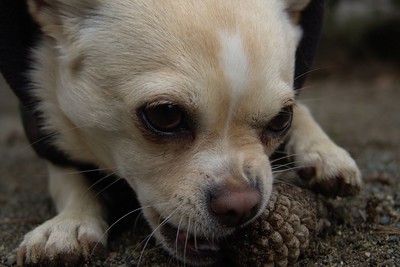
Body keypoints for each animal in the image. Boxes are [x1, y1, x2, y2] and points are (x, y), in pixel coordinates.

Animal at [14, 0, 360, 266]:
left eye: (280, 119)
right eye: (165, 115)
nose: (241, 206)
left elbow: (303, 111)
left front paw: (323, 151)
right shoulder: (48, 134)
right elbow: (70, 179)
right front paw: (69, 223)